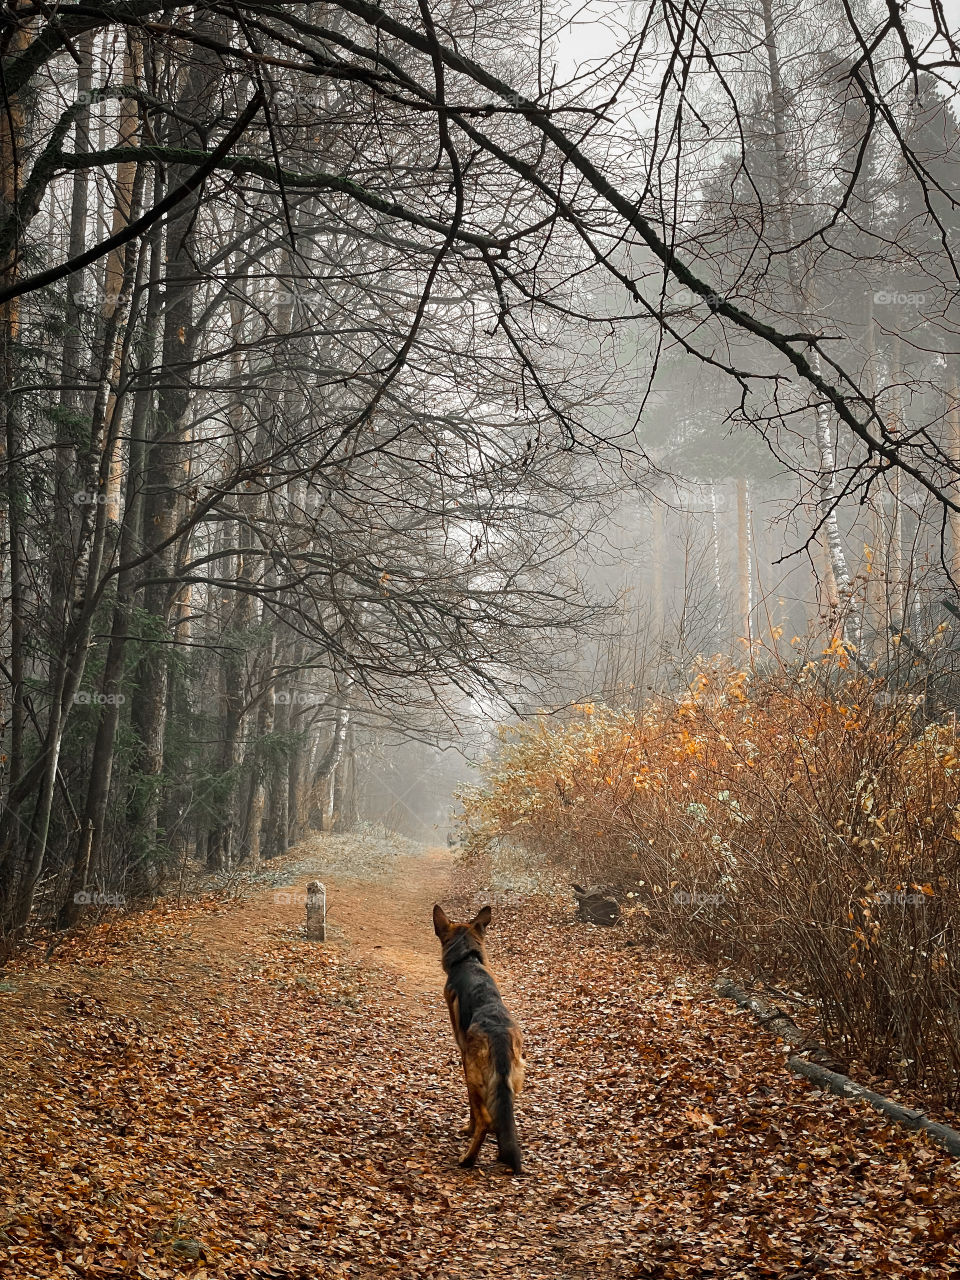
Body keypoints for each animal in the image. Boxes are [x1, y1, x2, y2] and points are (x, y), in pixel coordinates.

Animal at [435, 906, 527, 1172]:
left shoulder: (463, 1056)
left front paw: (468, 1129)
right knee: (503, 1118)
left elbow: (472, 1111)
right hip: (510, 1083)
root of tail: (499, 1035)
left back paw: (468, 1159)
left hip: (476, 1076)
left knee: (486, 1119)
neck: (468, 960)